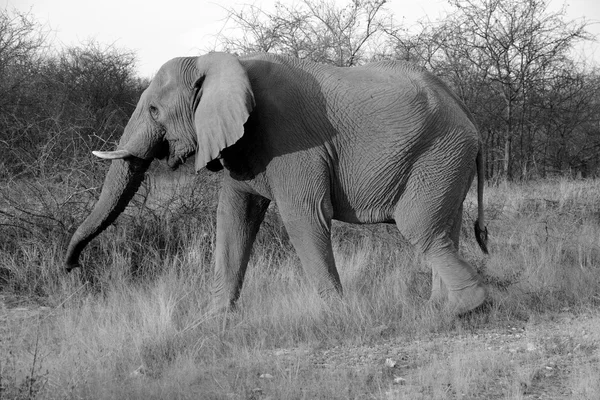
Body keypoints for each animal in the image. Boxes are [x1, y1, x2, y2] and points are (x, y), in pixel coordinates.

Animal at [63, 51, 490, 314]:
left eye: (154, 110)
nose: (73, 270)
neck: (222, 61)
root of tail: (466, 111)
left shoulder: (292, 138)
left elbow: (305, 217)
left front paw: (336, 316)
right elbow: (234, 218)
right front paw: (213, 322)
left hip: (439, 152)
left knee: (420, 227)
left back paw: (460, 310)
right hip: (446, 160)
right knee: (444, 227)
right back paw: (439, 308)